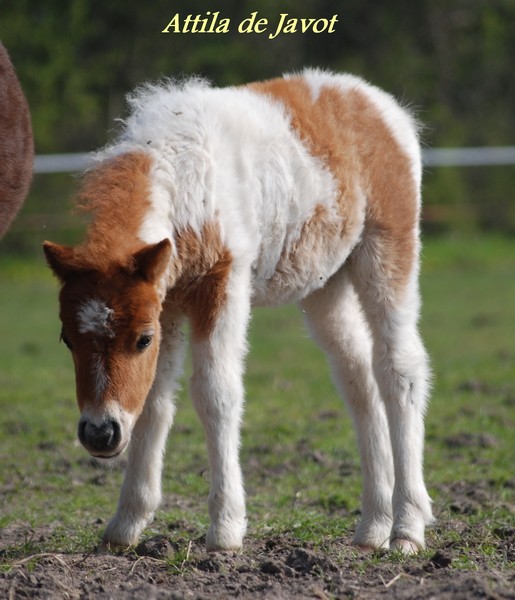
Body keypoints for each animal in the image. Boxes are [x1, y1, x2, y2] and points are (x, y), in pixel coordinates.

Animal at [44, 69, 434, 552]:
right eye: (67, 339)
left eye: (141, 339)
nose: (100, 433)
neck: (185, 172)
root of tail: (376, 100)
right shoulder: (166, 301)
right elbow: (155, 399)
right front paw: (126, 524)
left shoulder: (223, 284)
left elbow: (217, 393)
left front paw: (226, 530)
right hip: (326, 285)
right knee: (357, 376)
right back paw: (372, 527)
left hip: (388, 251)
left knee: (399, 368)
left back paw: (407, 529)